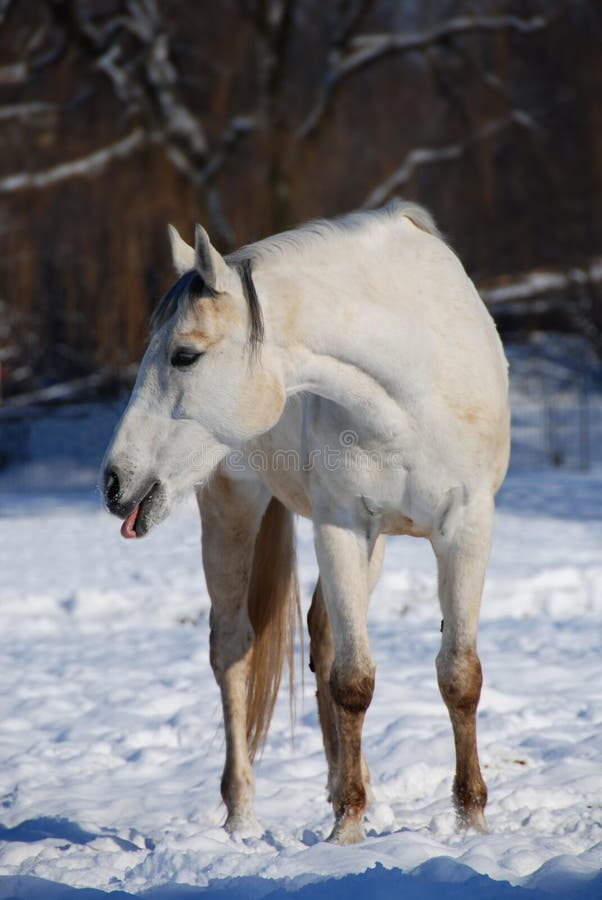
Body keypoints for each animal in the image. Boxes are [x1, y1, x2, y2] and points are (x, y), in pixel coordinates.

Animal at [101, 200, 510, 845]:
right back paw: (242, 818)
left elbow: (458, 675)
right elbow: (354, 680)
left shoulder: (466, 527)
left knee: (321, 632)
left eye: (184, 355)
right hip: (231, 510)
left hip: (373, 545)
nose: (115, 482)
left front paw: (471, 823)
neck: (413, 385)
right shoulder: (341, 526)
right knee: (233, 648)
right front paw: (346, 834)